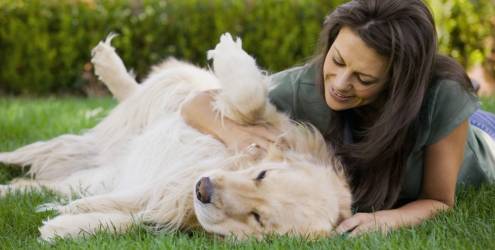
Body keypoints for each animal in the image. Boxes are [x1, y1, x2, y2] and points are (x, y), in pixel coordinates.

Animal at [0, 33, 352, 240]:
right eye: (262, 175)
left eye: (258, 219)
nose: (204, 189)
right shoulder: (270, 120)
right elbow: (249, 100)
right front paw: (229, 53)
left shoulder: (167, 207)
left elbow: (130, 220)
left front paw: (63, 226)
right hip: (159, 101)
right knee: (146, 89)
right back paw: (107, 62)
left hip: (93, 170)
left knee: (42, 181)